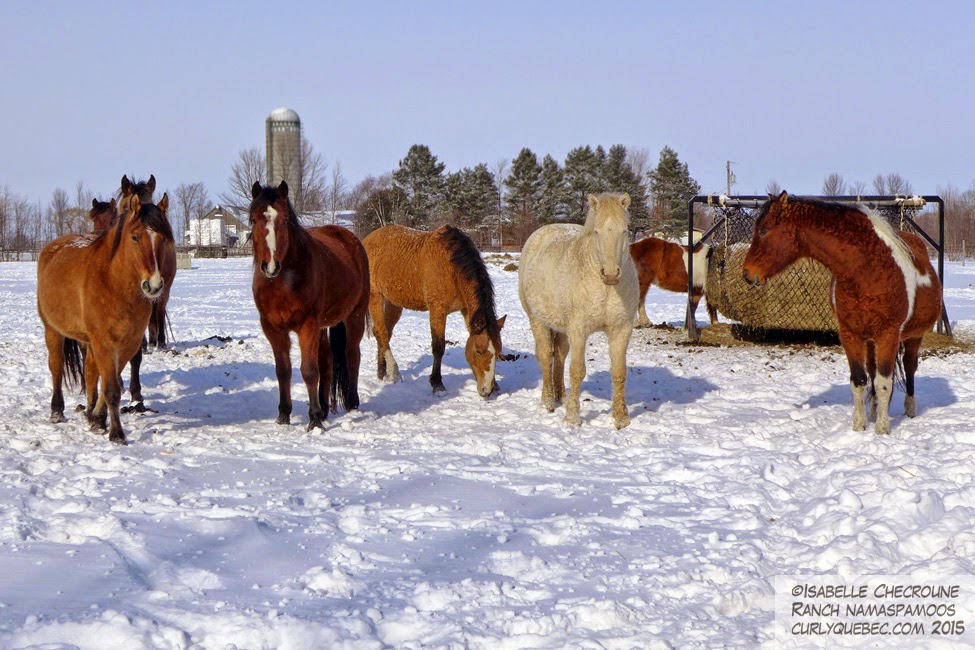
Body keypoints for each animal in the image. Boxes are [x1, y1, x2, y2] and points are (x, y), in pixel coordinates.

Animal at [36, 195, 164, 442]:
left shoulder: (128, 343)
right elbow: (112, 388)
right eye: (135, 237)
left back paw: (89, 410)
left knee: (89, 370)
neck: (113, 283)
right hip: (53, 330)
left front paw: (97, 418)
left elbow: (108, 381)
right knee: (56, 367)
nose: (153, 286)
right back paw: (57, 411)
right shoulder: (103, 342)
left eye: (163, 237)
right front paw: (116, 433)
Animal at [250, 180, 372, 428]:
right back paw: (325, 408)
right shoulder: (273, 328)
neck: (282, 283)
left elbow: (308, 371)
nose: (270, 266)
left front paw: (314, 420)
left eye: (285, 220)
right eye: (254, 220)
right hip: (323, 326)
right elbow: (283, 371)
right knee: (327, 361)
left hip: (354, 316)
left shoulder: (308, 324)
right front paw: (284, 415)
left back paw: (352, 404)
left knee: (351, 354)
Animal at [360, 223, 510, 394]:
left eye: (498, 351)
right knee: (382, 333)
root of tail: (366, 240)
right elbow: (438, 347)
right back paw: (394, 372)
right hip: (375, 296)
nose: (486, 390)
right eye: (479, 350)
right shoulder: (438, 310)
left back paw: (382, 372)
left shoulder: (466, 310)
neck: (452, 266)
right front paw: (437, 383)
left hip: (393, 303)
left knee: (383, 333)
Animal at [520, 190, 640, 428]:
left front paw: (621, 418)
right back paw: (548, 401)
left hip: (561, 329)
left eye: (625, 230)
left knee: (559, 355)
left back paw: (560, 396)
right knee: (546, 356)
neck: (605, 288)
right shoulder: (578, 331)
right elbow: (577, 371)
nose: (610, 274)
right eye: (597, 231)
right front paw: (572, 418)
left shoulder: (621, 330)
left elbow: (619, 372)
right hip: (537, 320)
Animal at [744, 192, 940, 436]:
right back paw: (874, 410)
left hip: (913, 337)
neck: (867, 269)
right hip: (870, 342)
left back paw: (909, 409)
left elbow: (884, 383)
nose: (746, 273)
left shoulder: (889, 334)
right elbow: (859, 380)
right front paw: (860, 425)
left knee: (909, 367)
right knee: (873, 371)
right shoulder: (850, 334)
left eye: (763, 230)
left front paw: (882, 429)